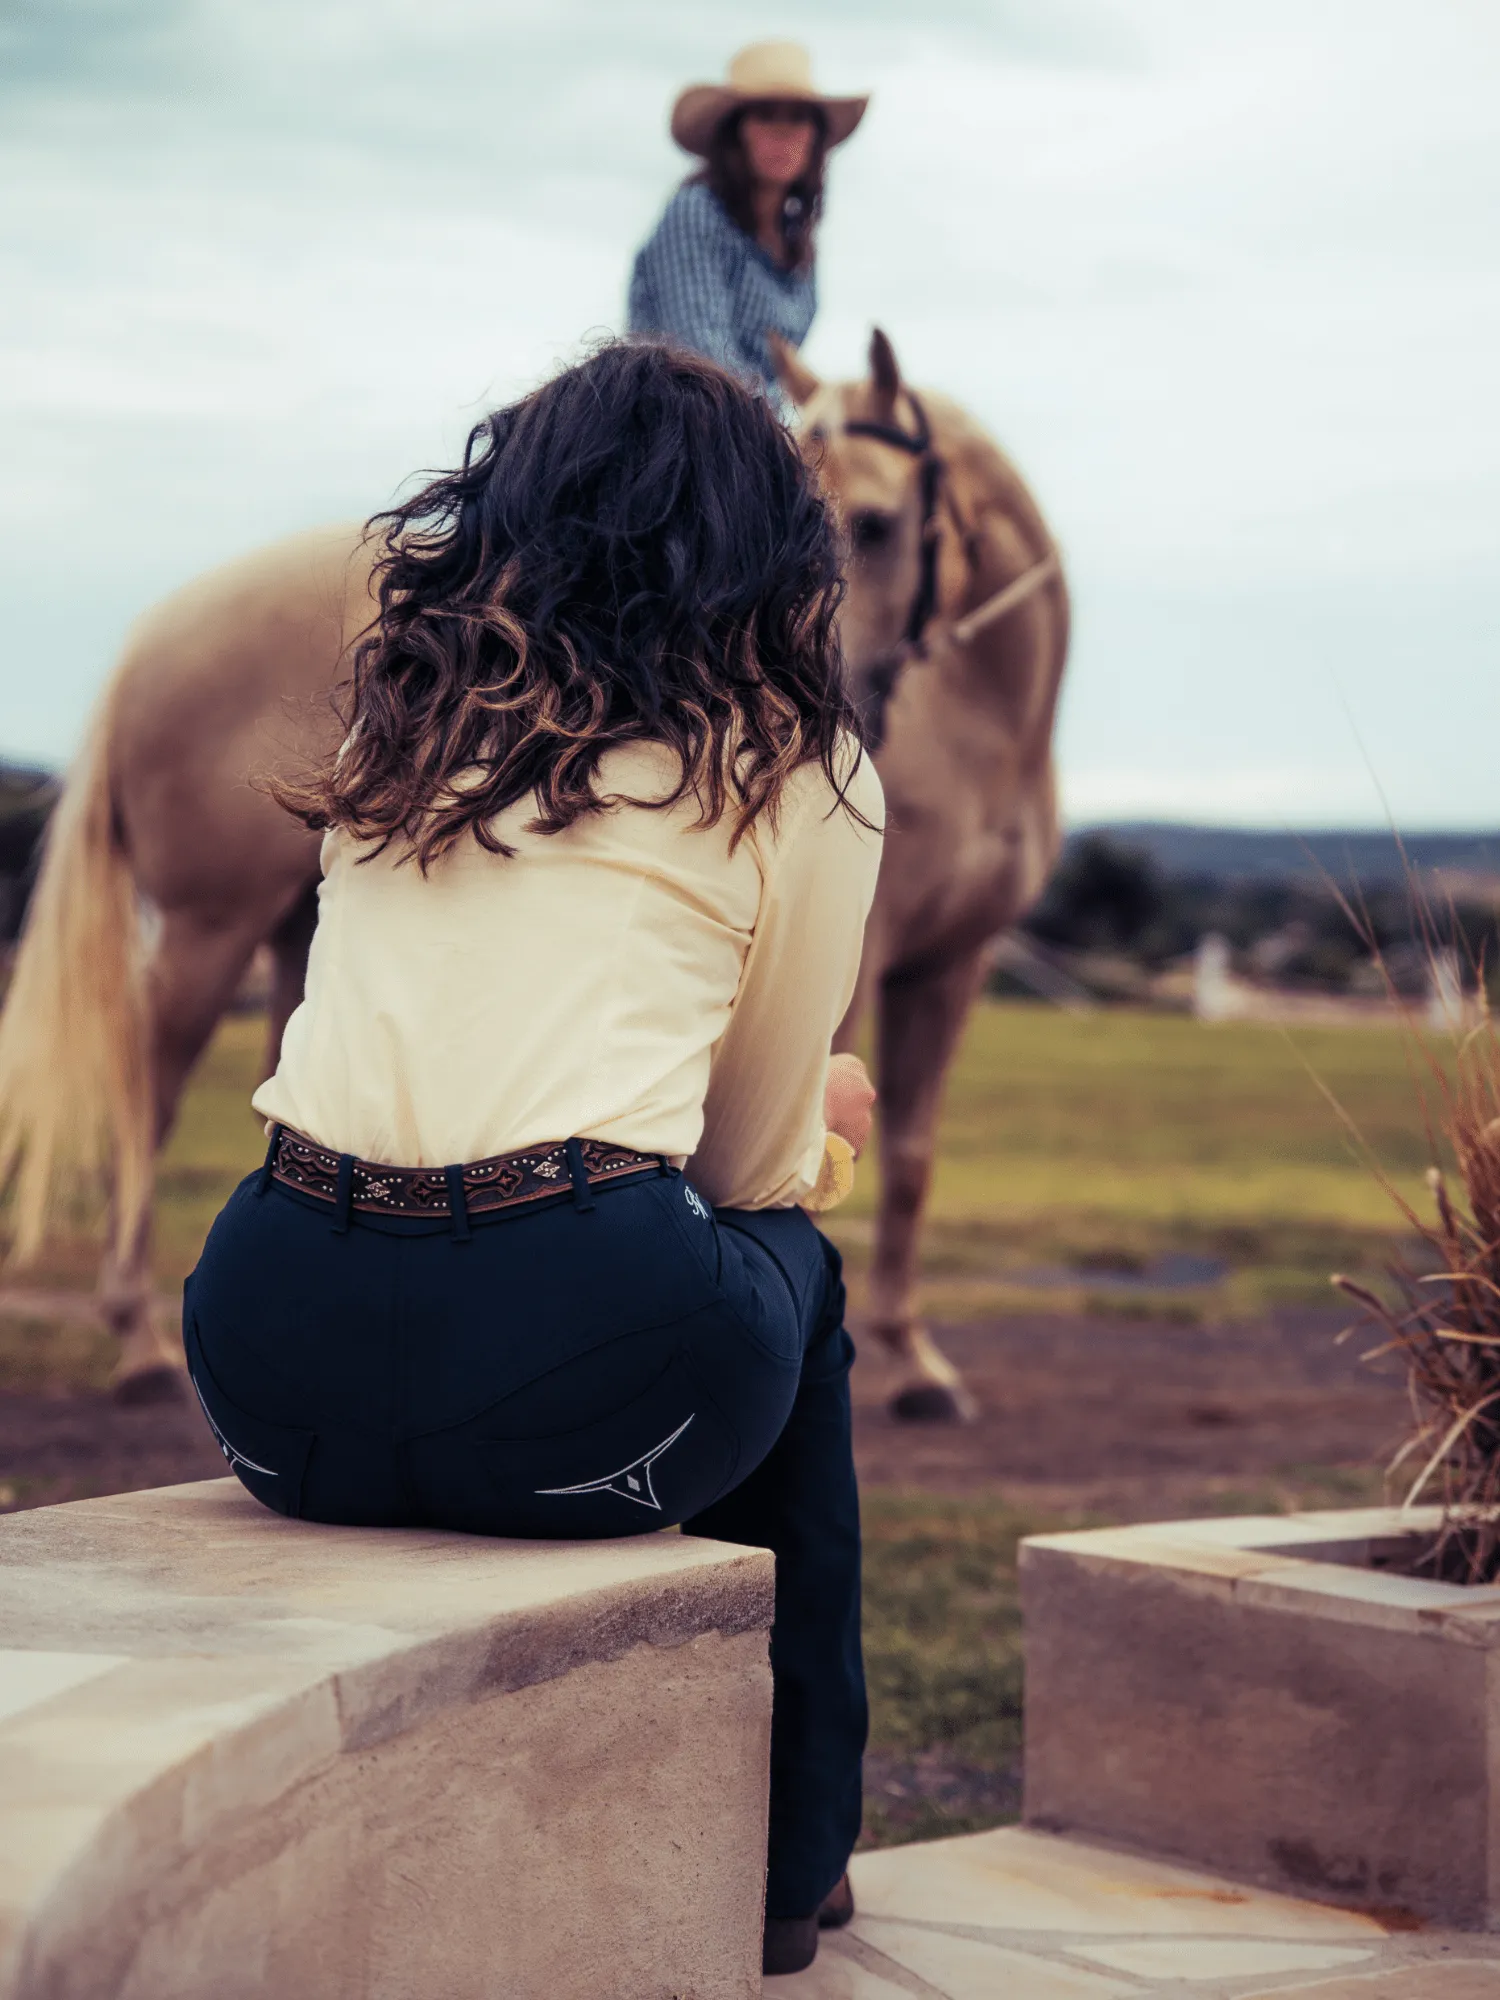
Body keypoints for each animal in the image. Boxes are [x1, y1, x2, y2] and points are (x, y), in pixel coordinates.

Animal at [0, 336, 1072, 1416]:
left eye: (880, 523)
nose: (826, 693)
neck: (984, 730)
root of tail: (148, 640)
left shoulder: (955, 961)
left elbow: (913, 1159)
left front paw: (916, 1360)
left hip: (293, 934)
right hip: (204, 925)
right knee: (146, 1091)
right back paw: (138, 1340)